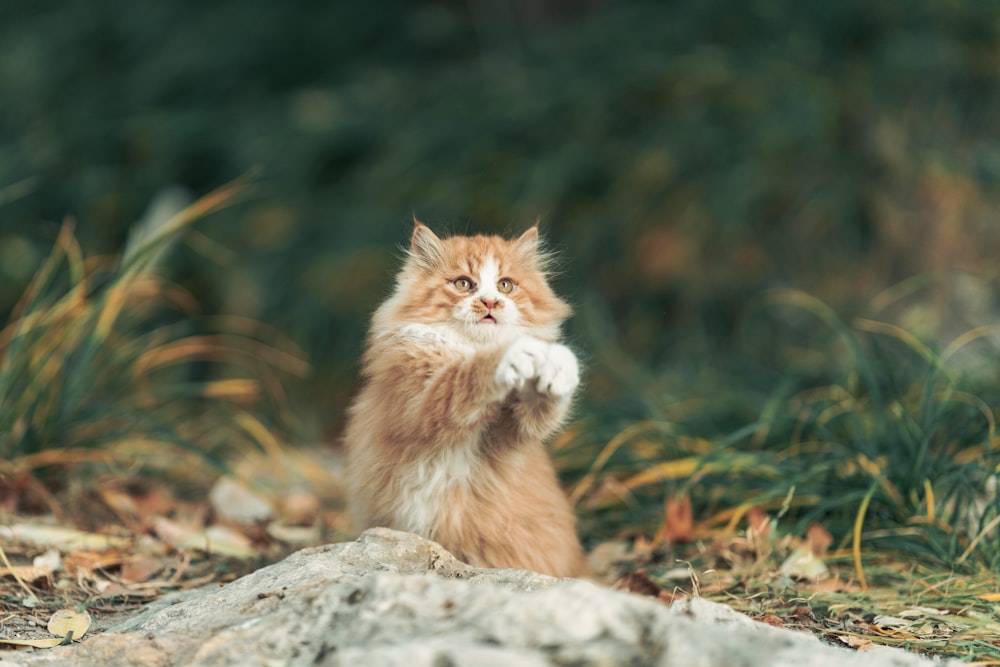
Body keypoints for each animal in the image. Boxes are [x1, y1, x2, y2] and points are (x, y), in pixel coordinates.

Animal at [344, 222, 584, 576]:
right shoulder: (417, 402)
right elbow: (470, 373)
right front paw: (514, 353)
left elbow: (543, 408)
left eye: (505, 285)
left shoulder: (512, 432)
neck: (468, 346)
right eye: (463, 284)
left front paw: (559, 364)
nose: (490, 302)